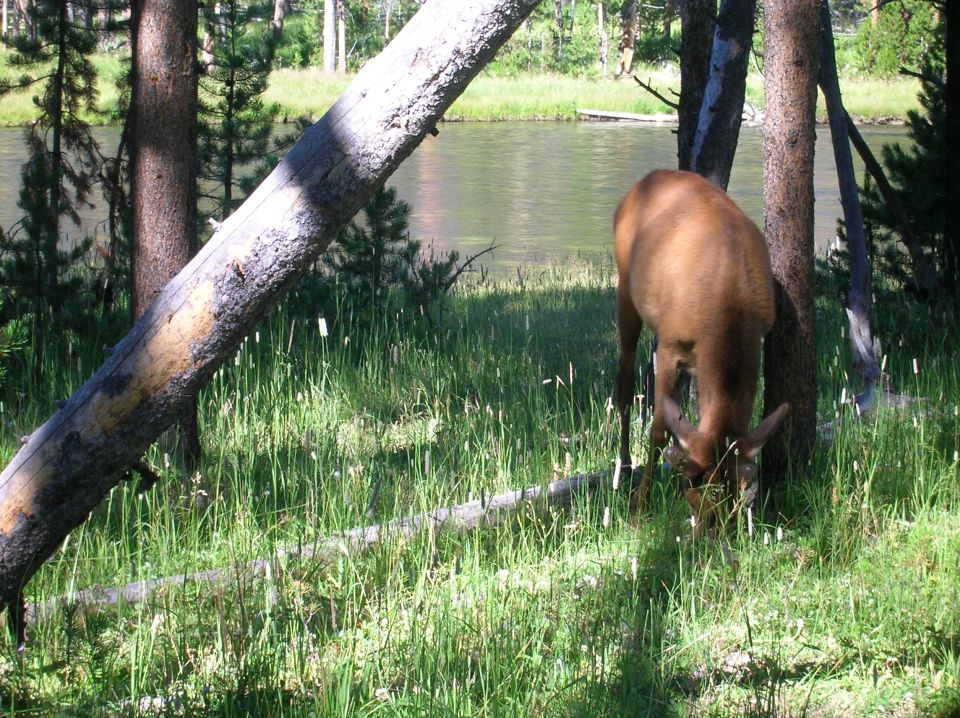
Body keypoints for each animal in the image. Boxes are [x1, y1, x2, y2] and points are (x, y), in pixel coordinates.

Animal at [613, 169, 789, 535]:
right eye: (692, 482)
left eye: (738, 485)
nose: (712, 529)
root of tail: (646, 179)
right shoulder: (671, 346)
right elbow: (659, 429)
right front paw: (639, 506)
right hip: (625, 288)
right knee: (623, 382)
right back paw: (623, 470)